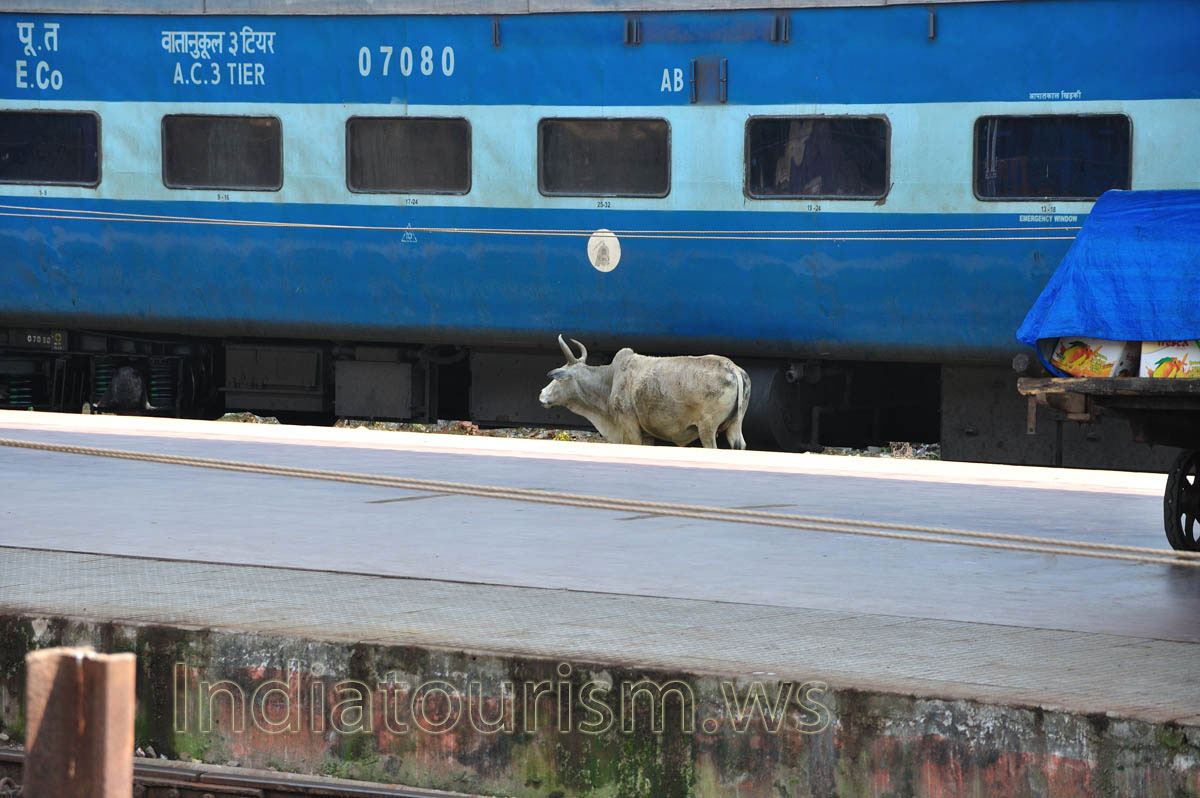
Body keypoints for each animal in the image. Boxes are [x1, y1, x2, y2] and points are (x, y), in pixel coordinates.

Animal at [538, 335, 750, 449]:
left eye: (559, 378)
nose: (542, 394)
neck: (609, 382)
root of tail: (732, 367)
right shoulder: (647, 434)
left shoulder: (630, 427)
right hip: (734, 426)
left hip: (707, 428)